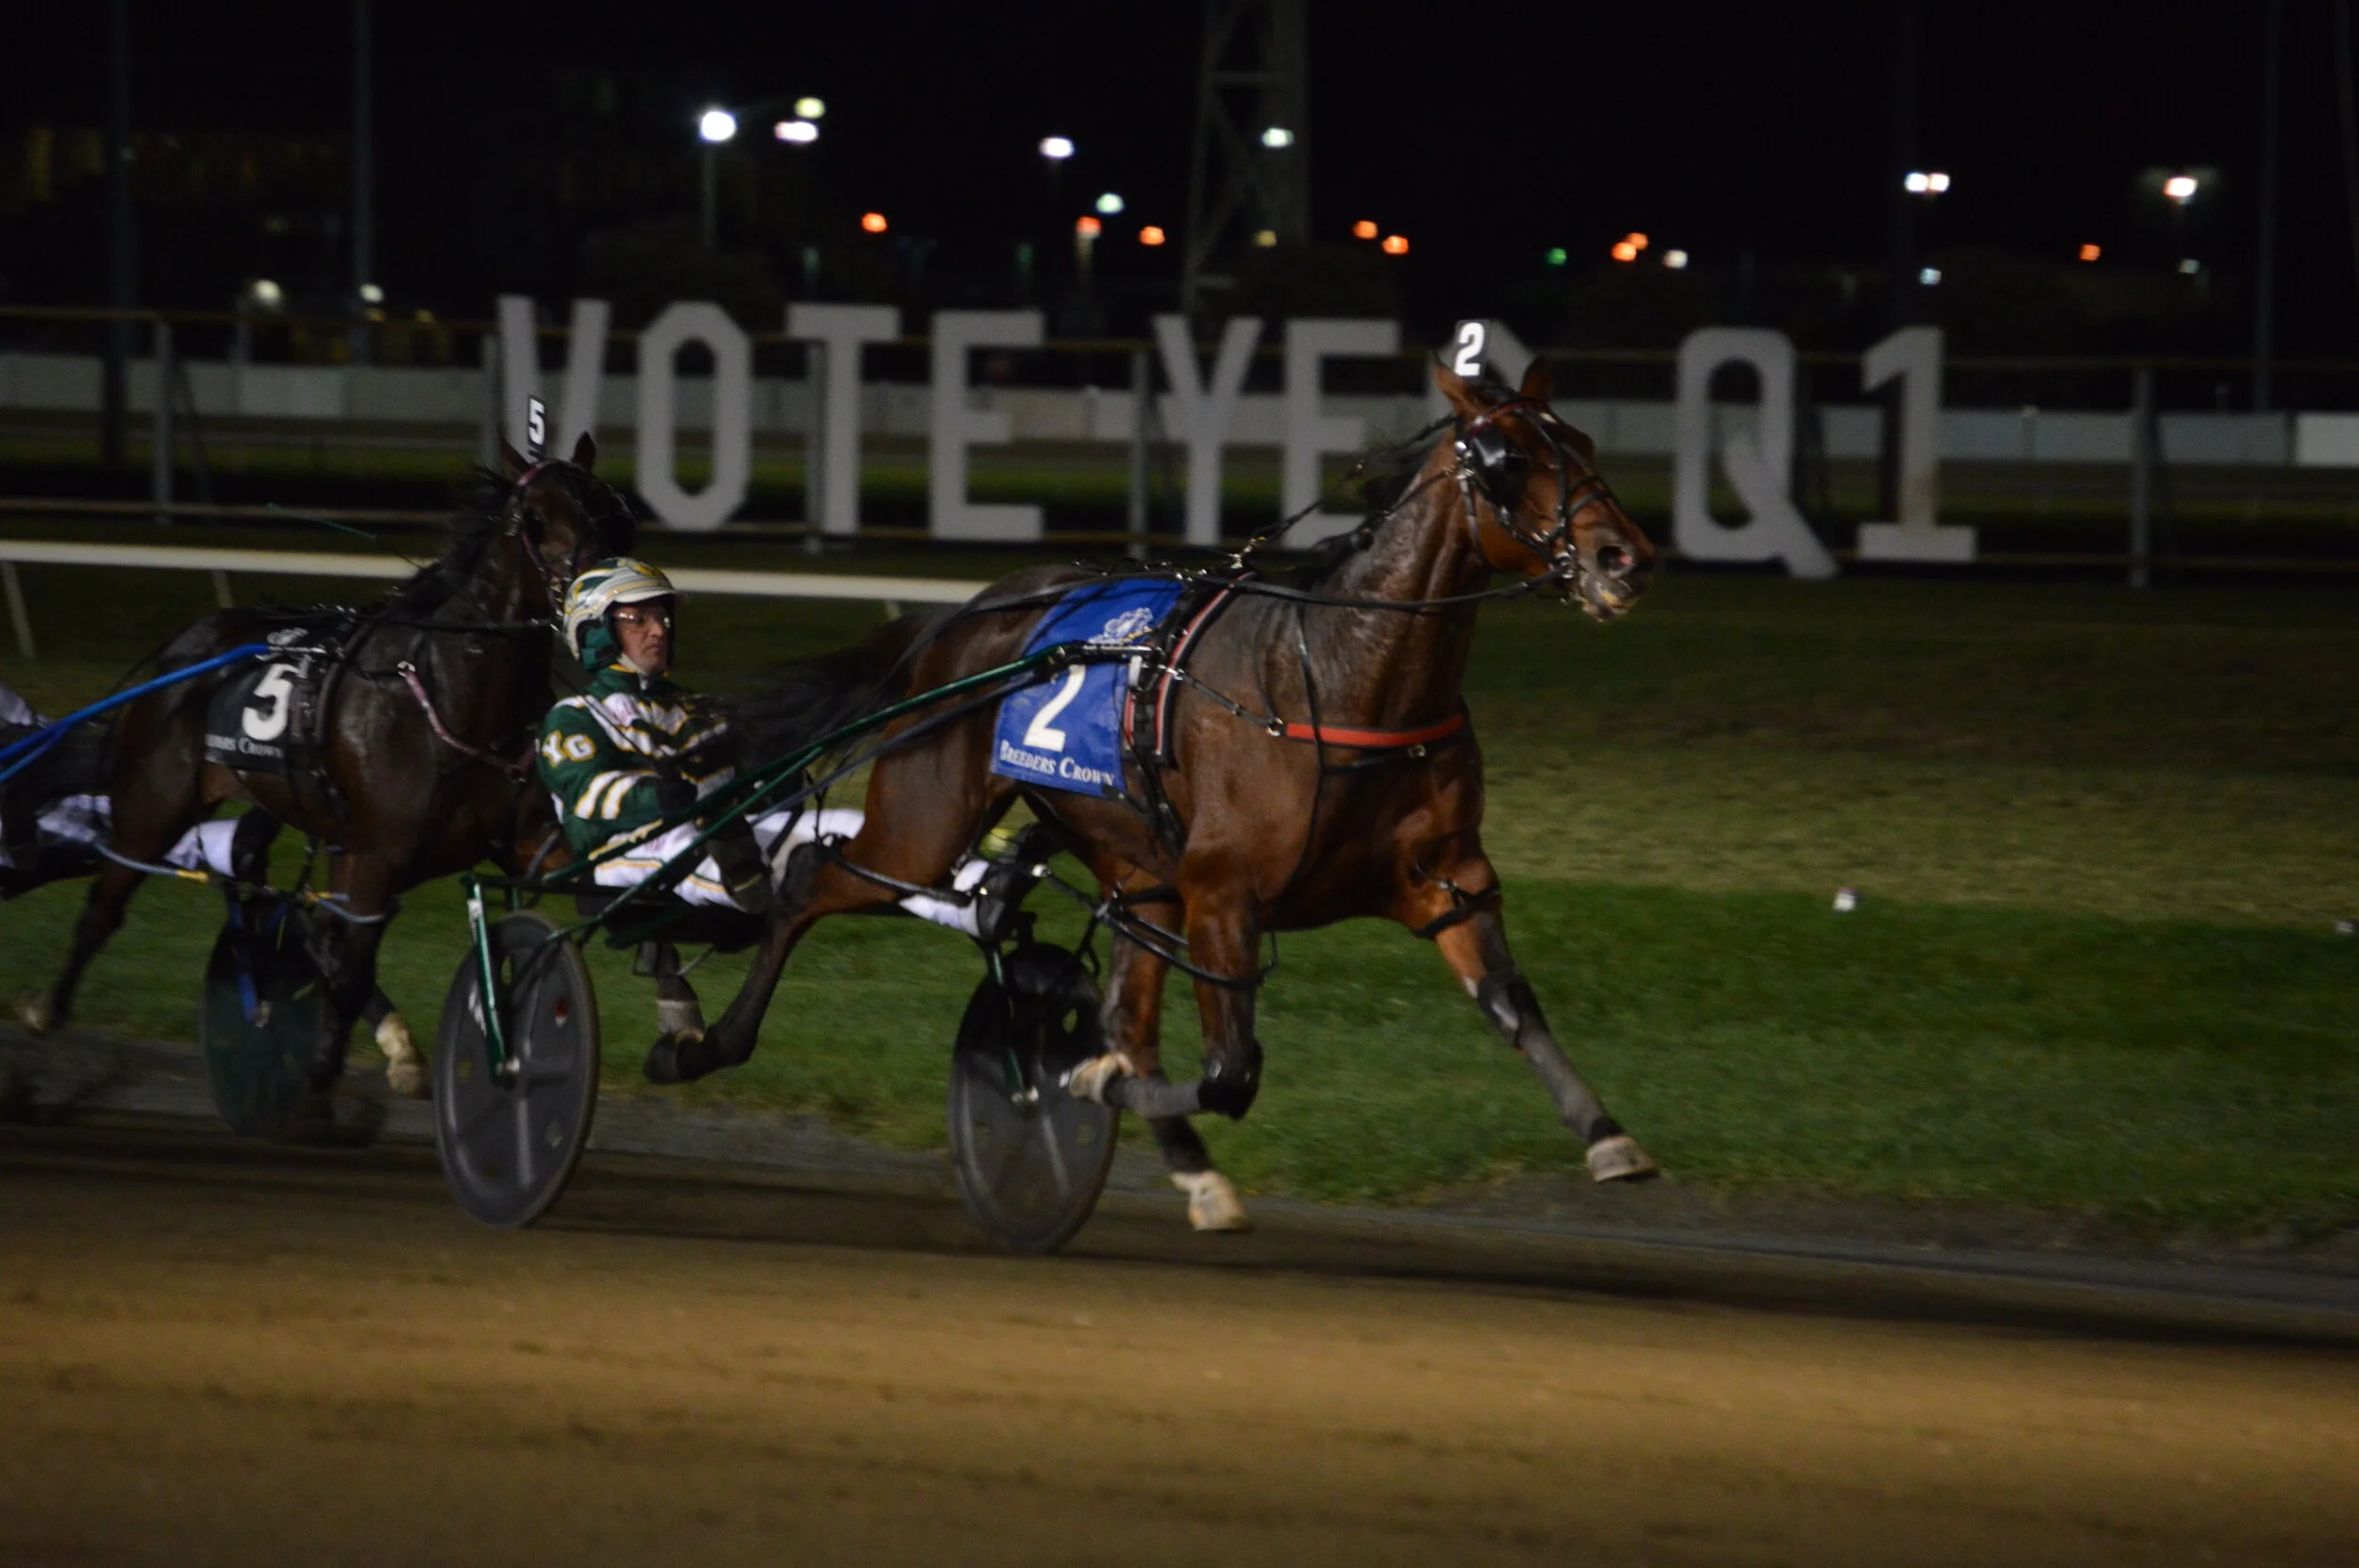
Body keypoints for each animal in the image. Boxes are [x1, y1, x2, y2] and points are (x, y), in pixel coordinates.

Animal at [13, 437, 631, 1136]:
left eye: (612, 512)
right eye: (535, 519)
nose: (596, 601)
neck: (456, 697)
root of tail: (186, 644)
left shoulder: (524, 842)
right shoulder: (381, 855)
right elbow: (353, 968)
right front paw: (314, 1092)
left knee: (297, 913)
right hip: (155, 801)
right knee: (106, 906)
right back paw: (47, 1011)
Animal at [664, 358, 1661, 1229]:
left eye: (1579, 440)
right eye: (1509, 457)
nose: (1628, 557)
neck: (1343, 681)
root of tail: (965, 613)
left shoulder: (1447, 878)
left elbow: (1509, 1004)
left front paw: (1609, 1138)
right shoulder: (1222, 891)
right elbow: (1231, 1072)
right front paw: (1079, 1077)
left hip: (1133, 863)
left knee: (1121, 1006)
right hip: (925, 824)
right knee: (810, 882)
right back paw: (709, 1043)